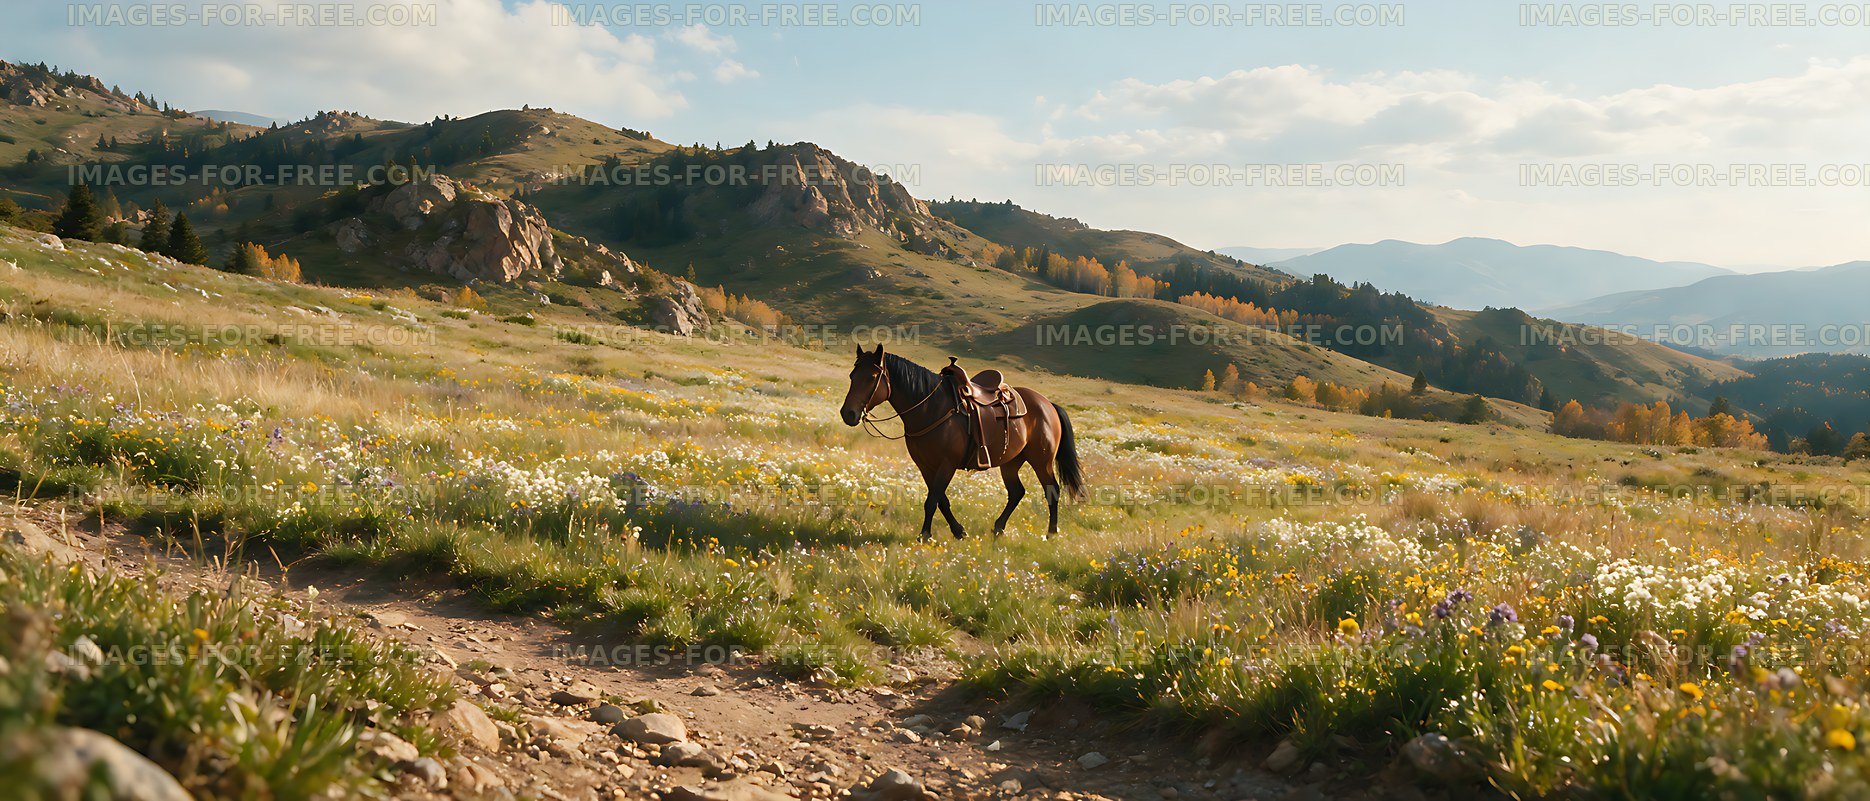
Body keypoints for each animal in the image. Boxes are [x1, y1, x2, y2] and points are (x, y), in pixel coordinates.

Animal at [839, 345, 1084, 539]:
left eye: (871, 378)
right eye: (851, 376)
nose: (848, 414)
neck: (930, 408)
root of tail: (1048, 404)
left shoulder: (947, 464)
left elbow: (932, 500)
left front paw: (925, 535)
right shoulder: (925, 465)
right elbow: (940, 500)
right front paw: (958, 531)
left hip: (1042, 460)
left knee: (1052, 491)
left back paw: (1051, 533)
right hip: (1011, 461)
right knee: (1017, 492)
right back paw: (998, 528)